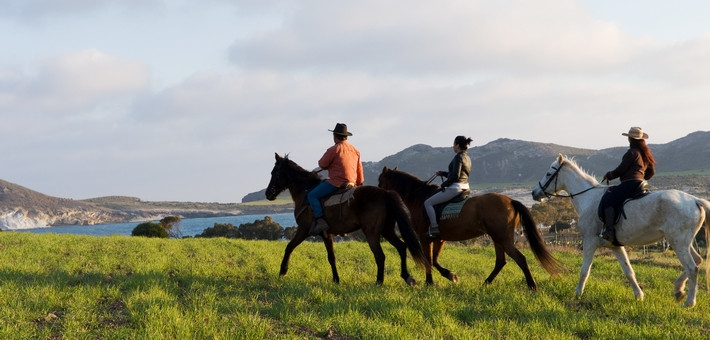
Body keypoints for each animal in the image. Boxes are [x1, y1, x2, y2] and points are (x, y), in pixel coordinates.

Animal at [264, 155, 426, 286]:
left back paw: (379, 282)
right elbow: (331, 257)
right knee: (401, 247)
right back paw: (406, 277)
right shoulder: (326, 234)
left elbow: (289, 247)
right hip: (387, 230)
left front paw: (282, 271)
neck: (305, 192)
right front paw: (336, 279)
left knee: (380, 255)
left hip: (372, 232)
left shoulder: (303, 230)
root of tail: (385, 193)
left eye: (274, 173)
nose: (268, 194)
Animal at [378, 167, 560, 290]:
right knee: (501, 261)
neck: (419, 198)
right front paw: (451, 276)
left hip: (503, 238)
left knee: (520, 259)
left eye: (380, 180)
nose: (378, 189)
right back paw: (486, 283)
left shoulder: (425, 238)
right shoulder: (439, 239)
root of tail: (510, 200)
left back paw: (532, 285)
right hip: (497, 239)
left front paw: (429, 283)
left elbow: (429, 260)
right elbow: (435, 260)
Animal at [536, 153, 710, 306]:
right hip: (683, 242)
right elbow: (629, 271)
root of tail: (695, 200)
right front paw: (639, 296)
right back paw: (678, 290)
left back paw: (689, 302)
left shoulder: (590, 242)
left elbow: (584, 270)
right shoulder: (615, 246)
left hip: (678, 243)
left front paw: (577, 294)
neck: (588, 199)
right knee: (697, 261)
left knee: (692, 267)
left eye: (549, 173)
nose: (534, 193)